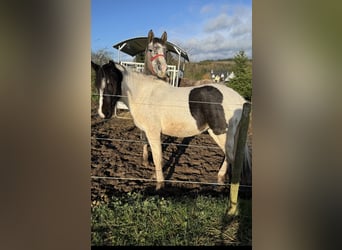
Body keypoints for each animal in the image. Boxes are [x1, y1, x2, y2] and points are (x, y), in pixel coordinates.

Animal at [91, 59, 251, 200]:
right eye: (97, 85)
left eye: (111, 83)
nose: (103, 113)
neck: (143, 95)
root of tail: (240, 99)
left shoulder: (153, 132)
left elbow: (157, 158)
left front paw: (159, 185)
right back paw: (220, 178)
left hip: (220, 133)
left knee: (232, 157)